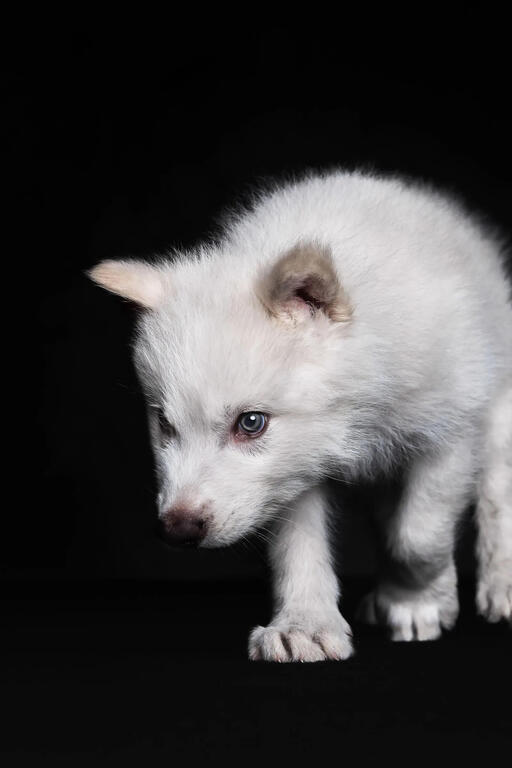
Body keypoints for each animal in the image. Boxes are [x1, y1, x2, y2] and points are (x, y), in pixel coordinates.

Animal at [89, 170, 512, 661]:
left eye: (250, 423)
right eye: (164, 425)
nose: (177, 530)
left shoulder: (450, 433)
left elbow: (417, 537)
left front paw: (417, 602)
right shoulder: (291, 471)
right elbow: (300, 548)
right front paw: (305, 626)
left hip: (497, 406)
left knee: (495, 492)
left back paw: (498, 586)